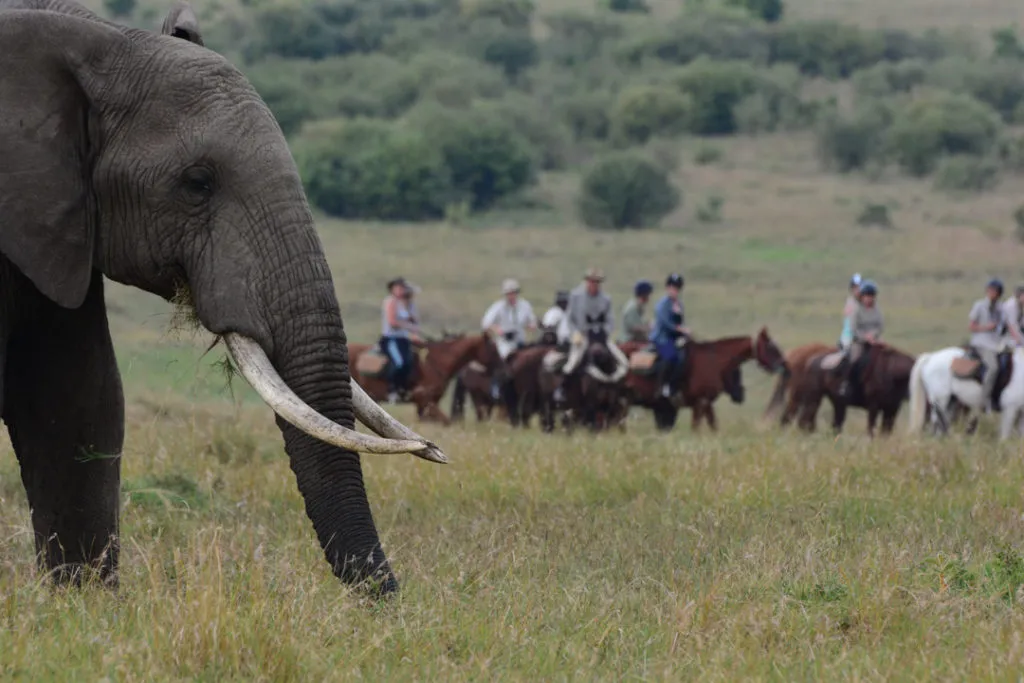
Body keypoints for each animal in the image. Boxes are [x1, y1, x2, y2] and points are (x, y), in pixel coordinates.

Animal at [349, 332, 500, 425]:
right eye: (493, 349)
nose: (501, 367)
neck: (436, 362)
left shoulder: (427, 403)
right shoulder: (423, 398)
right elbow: (445, 421)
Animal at [624, 327, 786, 432]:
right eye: (771, 347)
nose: (784, 365)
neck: (714, 360)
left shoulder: (705, 403)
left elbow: (713, 426)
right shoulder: (700, 402)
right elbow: (697, 427)